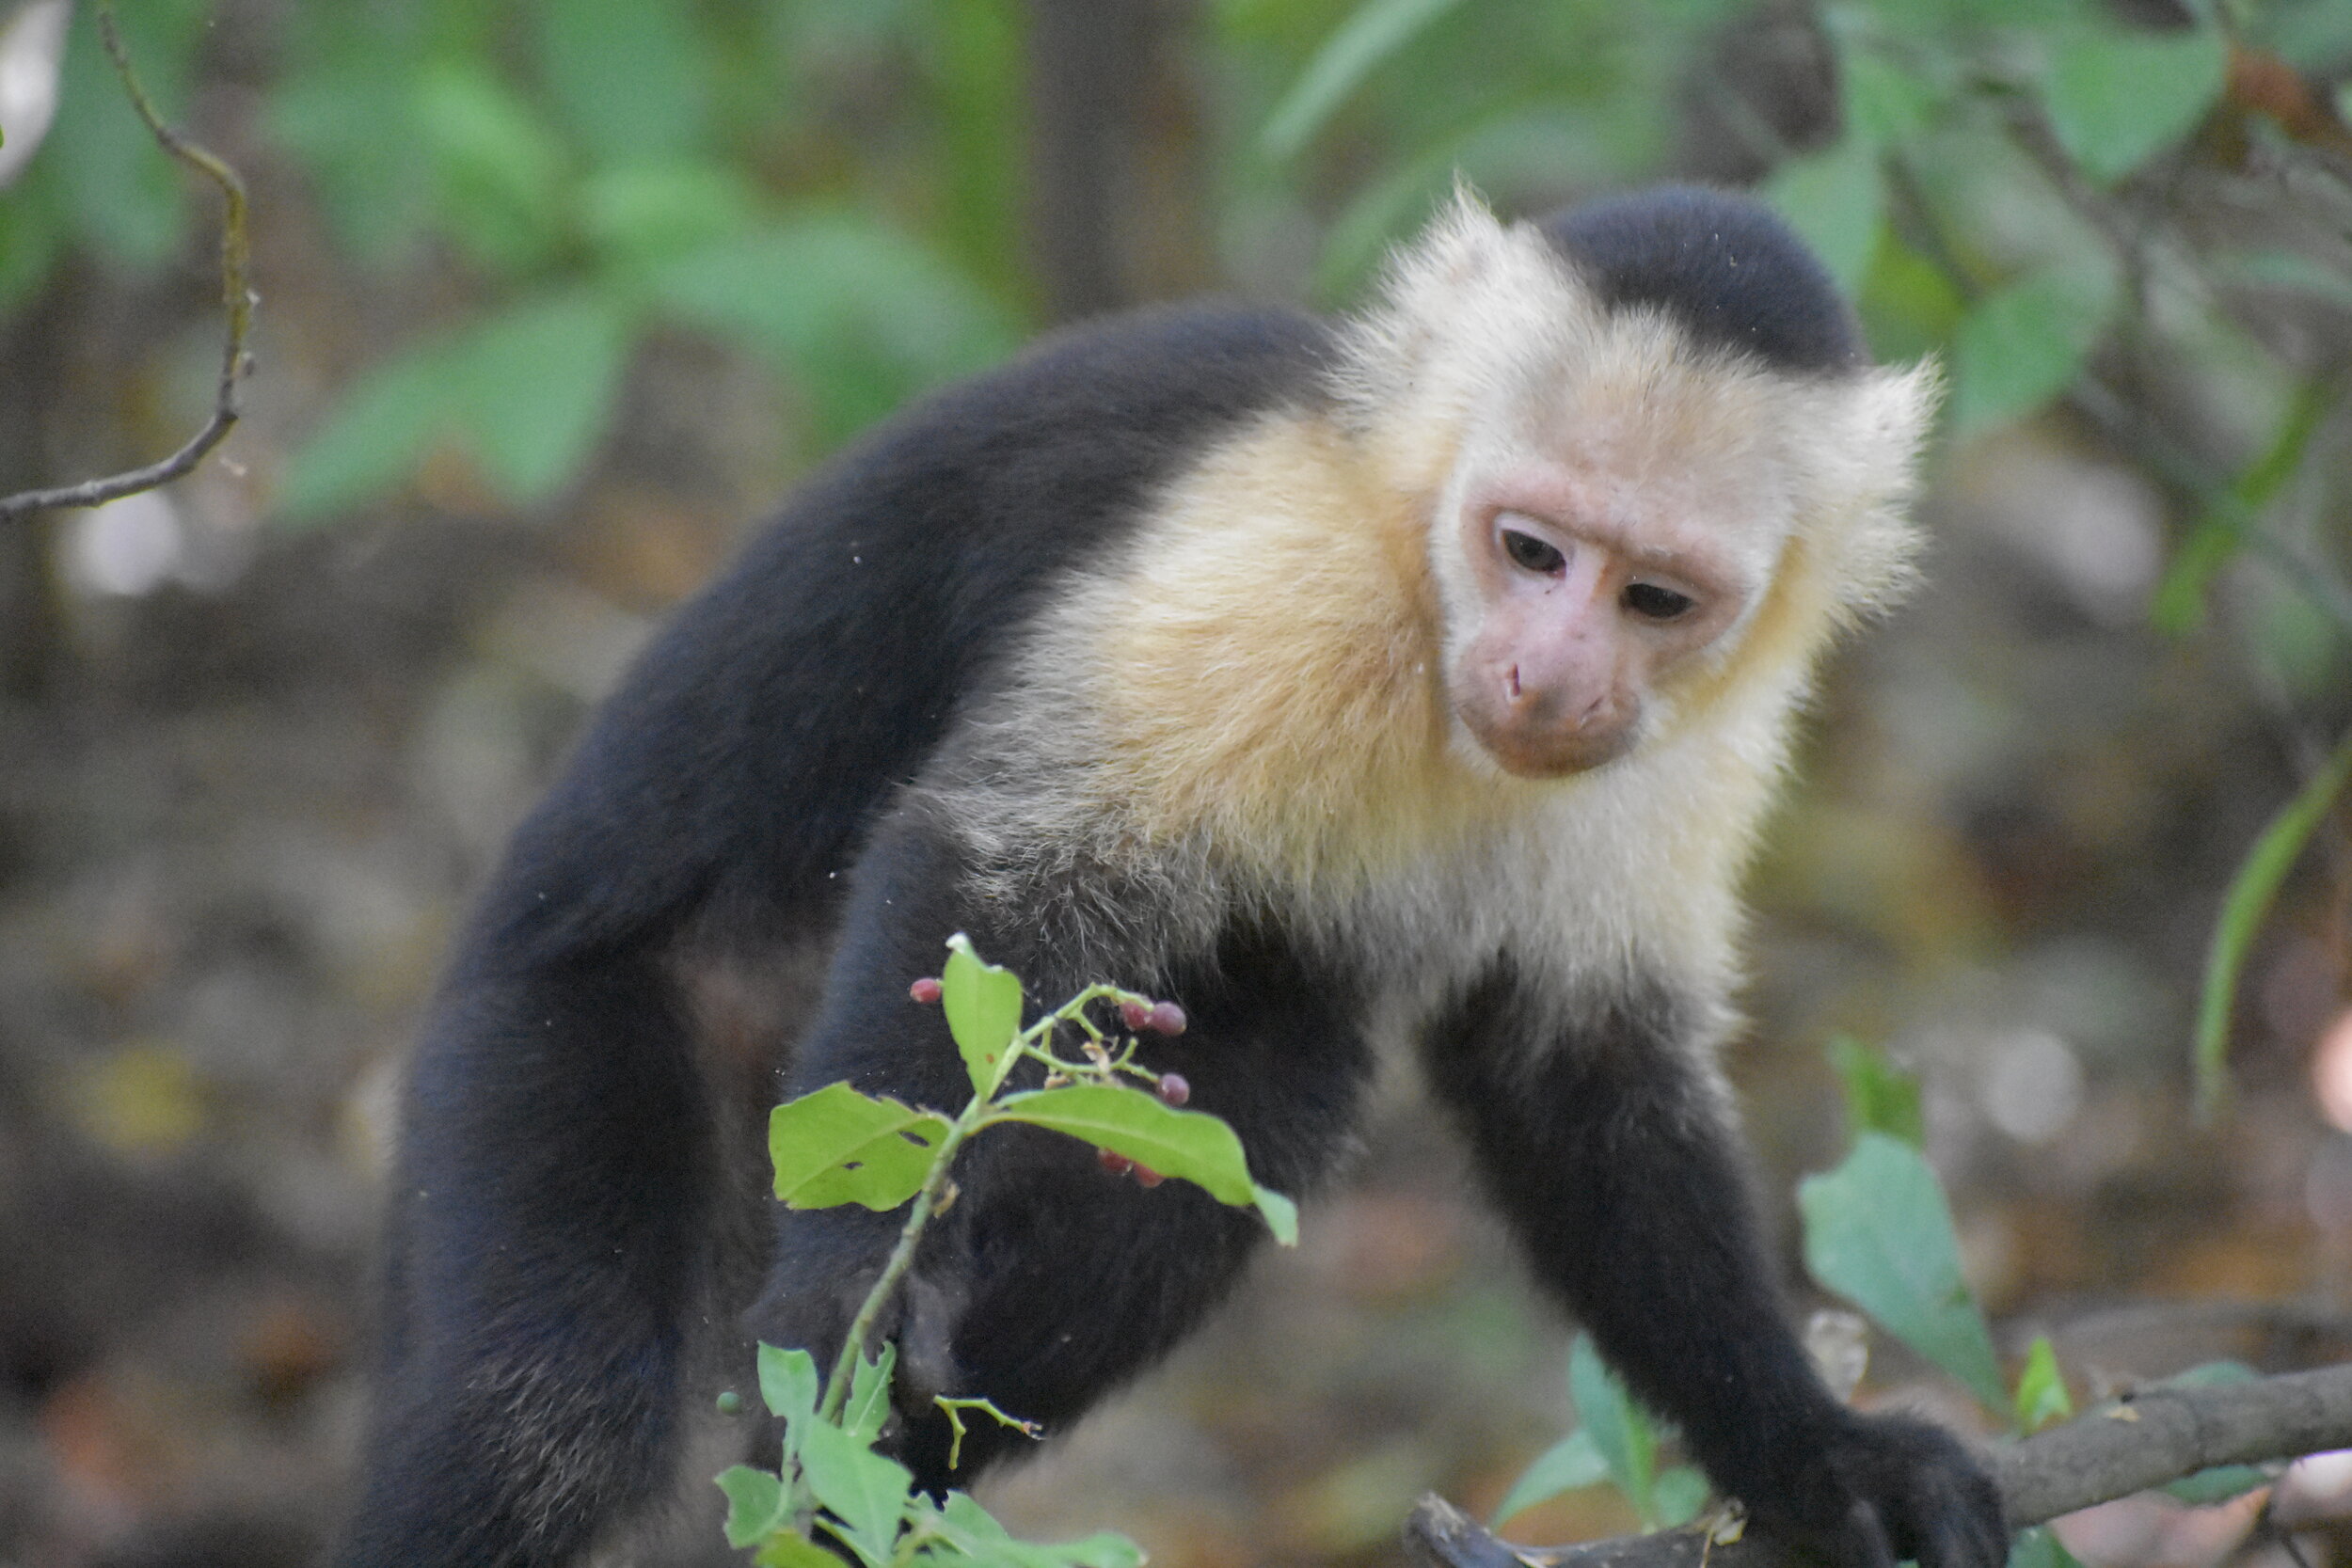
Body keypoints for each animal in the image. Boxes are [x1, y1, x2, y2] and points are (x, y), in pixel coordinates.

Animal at [343, 186, 2004, 1568]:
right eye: (1532, 548)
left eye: (1655, 597)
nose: (1549, 674)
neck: (1423, 584)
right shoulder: (1287, 565)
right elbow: (997, 863)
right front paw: (857, 1283)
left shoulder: (1709, 731)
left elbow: (1582, 1075)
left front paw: (1815, 1450)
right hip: (545, 1045)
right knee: (550, 1414)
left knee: (1258, 1099)